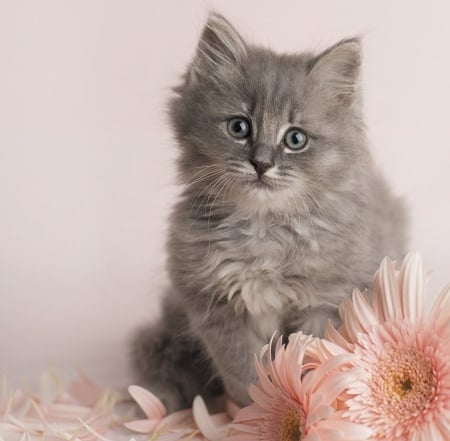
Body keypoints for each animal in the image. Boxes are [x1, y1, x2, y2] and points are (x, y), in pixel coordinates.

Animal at [130, 12, 408, 410]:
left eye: (296, 139)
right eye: (239, 127)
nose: (261, 163)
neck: (263, 230)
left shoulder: (326, 303)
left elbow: (310, 363)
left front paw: (305, 411)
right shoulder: (214, 305)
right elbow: (244, 372)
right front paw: (252, 411)